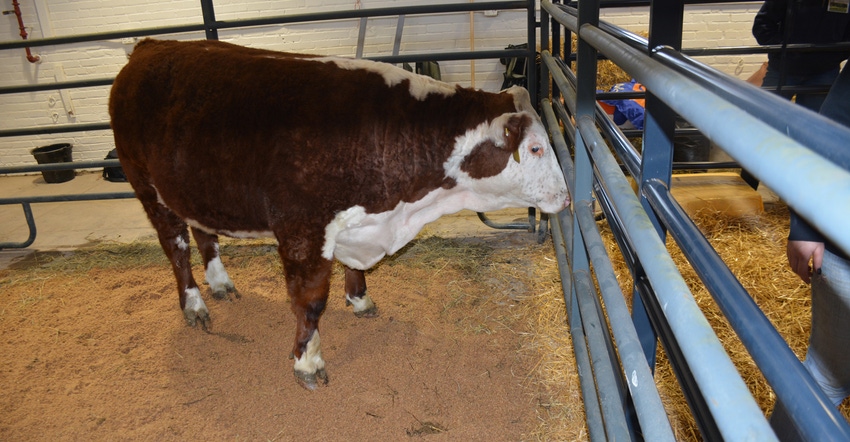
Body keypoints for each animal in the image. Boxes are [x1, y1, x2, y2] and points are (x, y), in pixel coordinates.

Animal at [107, 38, 568, 390]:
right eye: (535, 148)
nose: (566, 198)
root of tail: (151, 45)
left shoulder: (358, 223)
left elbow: (355, 270)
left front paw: (361, 300)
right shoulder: (302, 231)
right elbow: (310, 302)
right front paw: (307, 361)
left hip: (198, 191)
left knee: (205, 235)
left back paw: (220, 283)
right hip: (147, 187)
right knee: (177, 248)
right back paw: (195, 305)